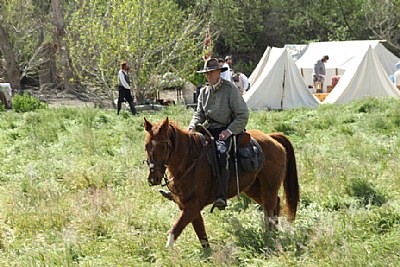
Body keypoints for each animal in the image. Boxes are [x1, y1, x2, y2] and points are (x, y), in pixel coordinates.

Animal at [144, 117, 300, 249]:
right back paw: (275, 234)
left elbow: (176, 229)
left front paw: (167, 253)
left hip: (269, 188)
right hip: (253, 189)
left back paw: (269, 237)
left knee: (269, 211)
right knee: (276, 204)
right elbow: (200, 231)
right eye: (146, 146)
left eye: (163, 146)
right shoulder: (186, 205)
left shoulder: (195, 204)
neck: (190, 162)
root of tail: (272, 138)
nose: (153, 178)